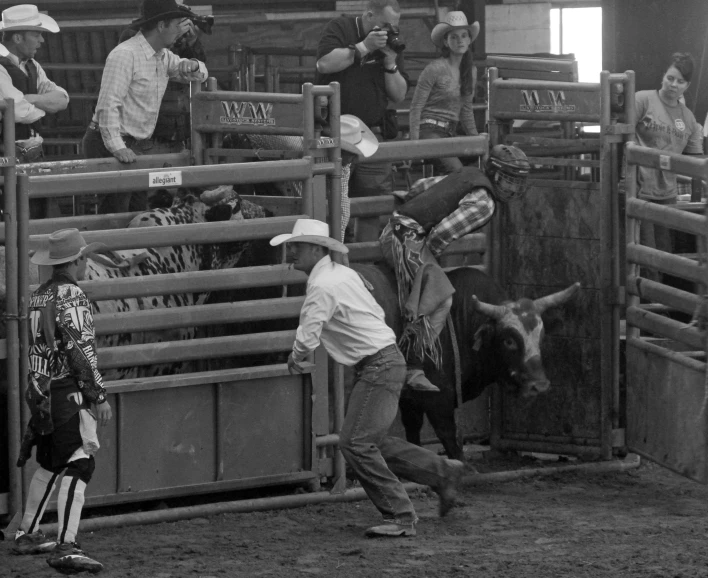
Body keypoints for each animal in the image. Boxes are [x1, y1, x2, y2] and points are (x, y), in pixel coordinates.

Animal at [352, 264, 580, 462]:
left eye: (541, 337)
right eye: (509, 340)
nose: (538, 385)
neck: (460, 320)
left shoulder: (409, 400)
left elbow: (413, 432)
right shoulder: (438, 399)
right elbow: (448, 436)